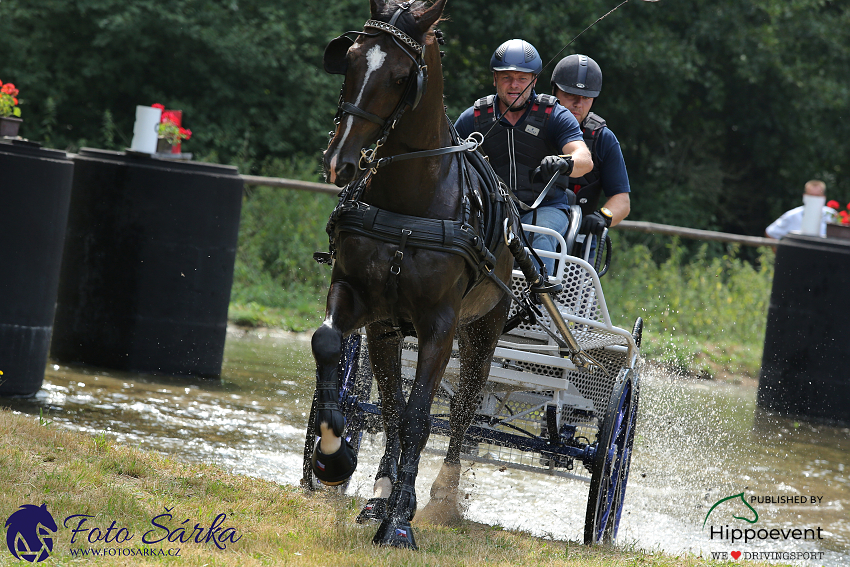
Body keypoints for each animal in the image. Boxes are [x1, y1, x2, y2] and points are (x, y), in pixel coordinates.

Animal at [314, 0, 516, 552]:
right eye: (350, 59)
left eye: (402, 77)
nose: (339, 161)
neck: (409, 201)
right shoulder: (360, 301)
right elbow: (331, 349)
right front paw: (336, 454)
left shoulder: (439, 325)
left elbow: (422, 417)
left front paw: (401, 520)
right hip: (388, 331)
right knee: (389, 404)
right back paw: (379, 490)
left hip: (483, 329)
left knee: (465, 407)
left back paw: (442, 494)